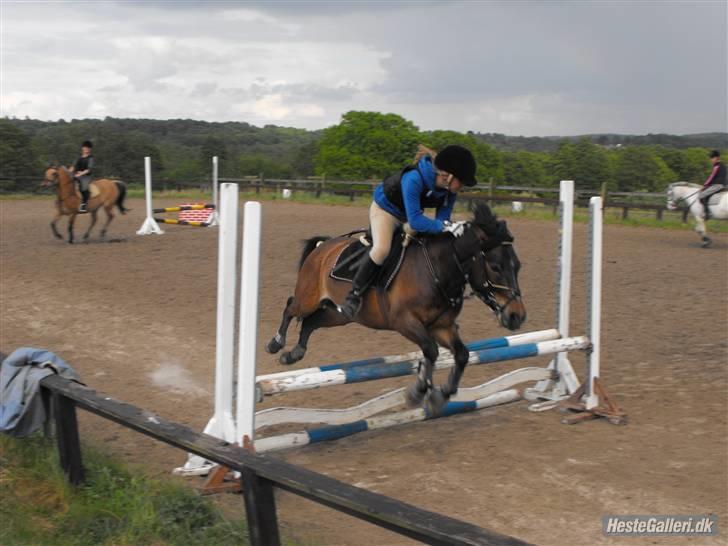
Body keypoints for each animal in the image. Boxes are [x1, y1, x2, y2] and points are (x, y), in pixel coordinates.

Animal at [266, 203, 524, 412]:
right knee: (291, 307)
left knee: (311, 322)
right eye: (495, 266)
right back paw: (276, 343)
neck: (439, 270)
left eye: (518, 265)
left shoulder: (442, 326)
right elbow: (430, 351)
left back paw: (294, 354)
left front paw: (440, 395)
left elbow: (460, 354)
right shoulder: (404, 322)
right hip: (308, 298)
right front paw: (418, 392)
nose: (517, 316)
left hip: (339, 314)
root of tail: (325, 245)